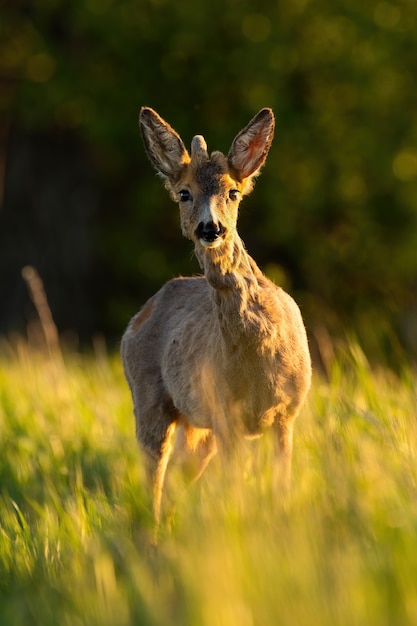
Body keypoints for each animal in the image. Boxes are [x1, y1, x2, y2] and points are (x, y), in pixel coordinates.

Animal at [119, 106, 308, 520]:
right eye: (184, 193)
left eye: (232, 192)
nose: (211, 227)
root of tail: (140, 315)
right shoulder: (226, 414)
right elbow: (233, 490)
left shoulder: (286, 413)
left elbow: (282, 488)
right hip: (149, 398)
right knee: (154, 479)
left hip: (196, 425)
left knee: (178, 475)